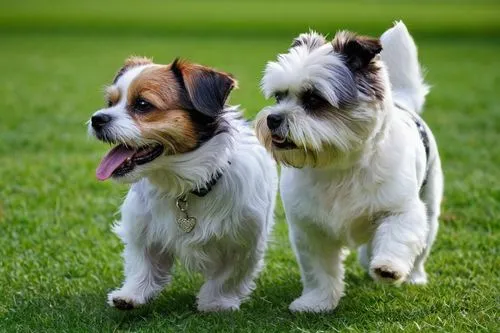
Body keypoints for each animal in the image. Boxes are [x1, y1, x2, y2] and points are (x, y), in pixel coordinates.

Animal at [87, 56, 276, 312]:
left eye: (143, 104)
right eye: (110, 102)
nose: (97, 118)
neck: (185, 185)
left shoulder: (245, 241)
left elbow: (228, 276)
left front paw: (215, 302)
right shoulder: (142, 229)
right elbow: (142, 264)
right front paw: (132, 294)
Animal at [256, 22, 444, 312]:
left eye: (313, 99)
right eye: (279, 97)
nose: (273, 119)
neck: (337, 166)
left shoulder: (401, 210)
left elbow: (397, 235)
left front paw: (388, 267)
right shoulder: (311, 229)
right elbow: (319, 270)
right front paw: (317, 301)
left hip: (430, 207)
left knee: (419, 246)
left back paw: (413, 276)